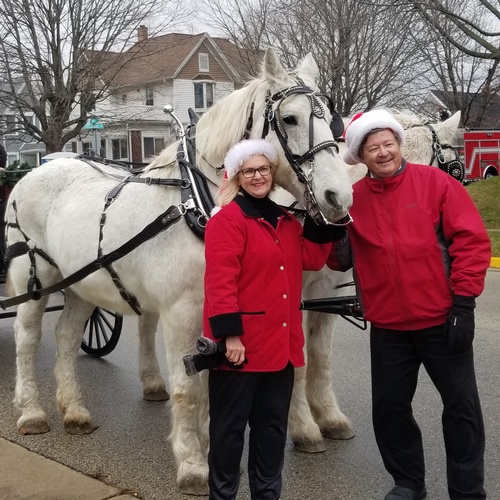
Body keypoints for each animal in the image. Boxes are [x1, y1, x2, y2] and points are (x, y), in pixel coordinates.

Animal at [5, 47, 354, 496]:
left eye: (332, 119)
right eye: (290, 119)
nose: (338, 196)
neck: (198, 205)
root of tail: (38, 170)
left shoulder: (217, 313)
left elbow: (208, 386)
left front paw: (207, 446)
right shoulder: (181, 312)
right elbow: (188, 389)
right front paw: (191, 464)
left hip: (83, 283)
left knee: (66, 337)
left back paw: (74, 410)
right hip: (32, 279)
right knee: (28, 339)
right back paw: (32, 412)